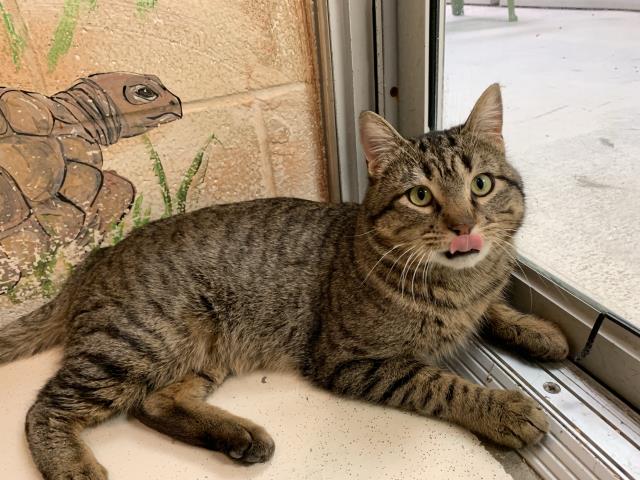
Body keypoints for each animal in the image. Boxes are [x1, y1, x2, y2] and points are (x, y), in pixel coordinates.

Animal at [0, 84, 568, 478]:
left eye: (481, 185)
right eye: (421, 196)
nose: (464, 226)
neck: (456, 282)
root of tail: (94, 258)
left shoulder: (478, 290)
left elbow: (493, 306)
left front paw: (537, 329)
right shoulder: (350, 360)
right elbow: (439, 383)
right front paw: (500, 408)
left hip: (198, 350)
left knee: (153, 402)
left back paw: (239, 436)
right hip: (136, 343)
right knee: (45, 409)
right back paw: (74, 466)